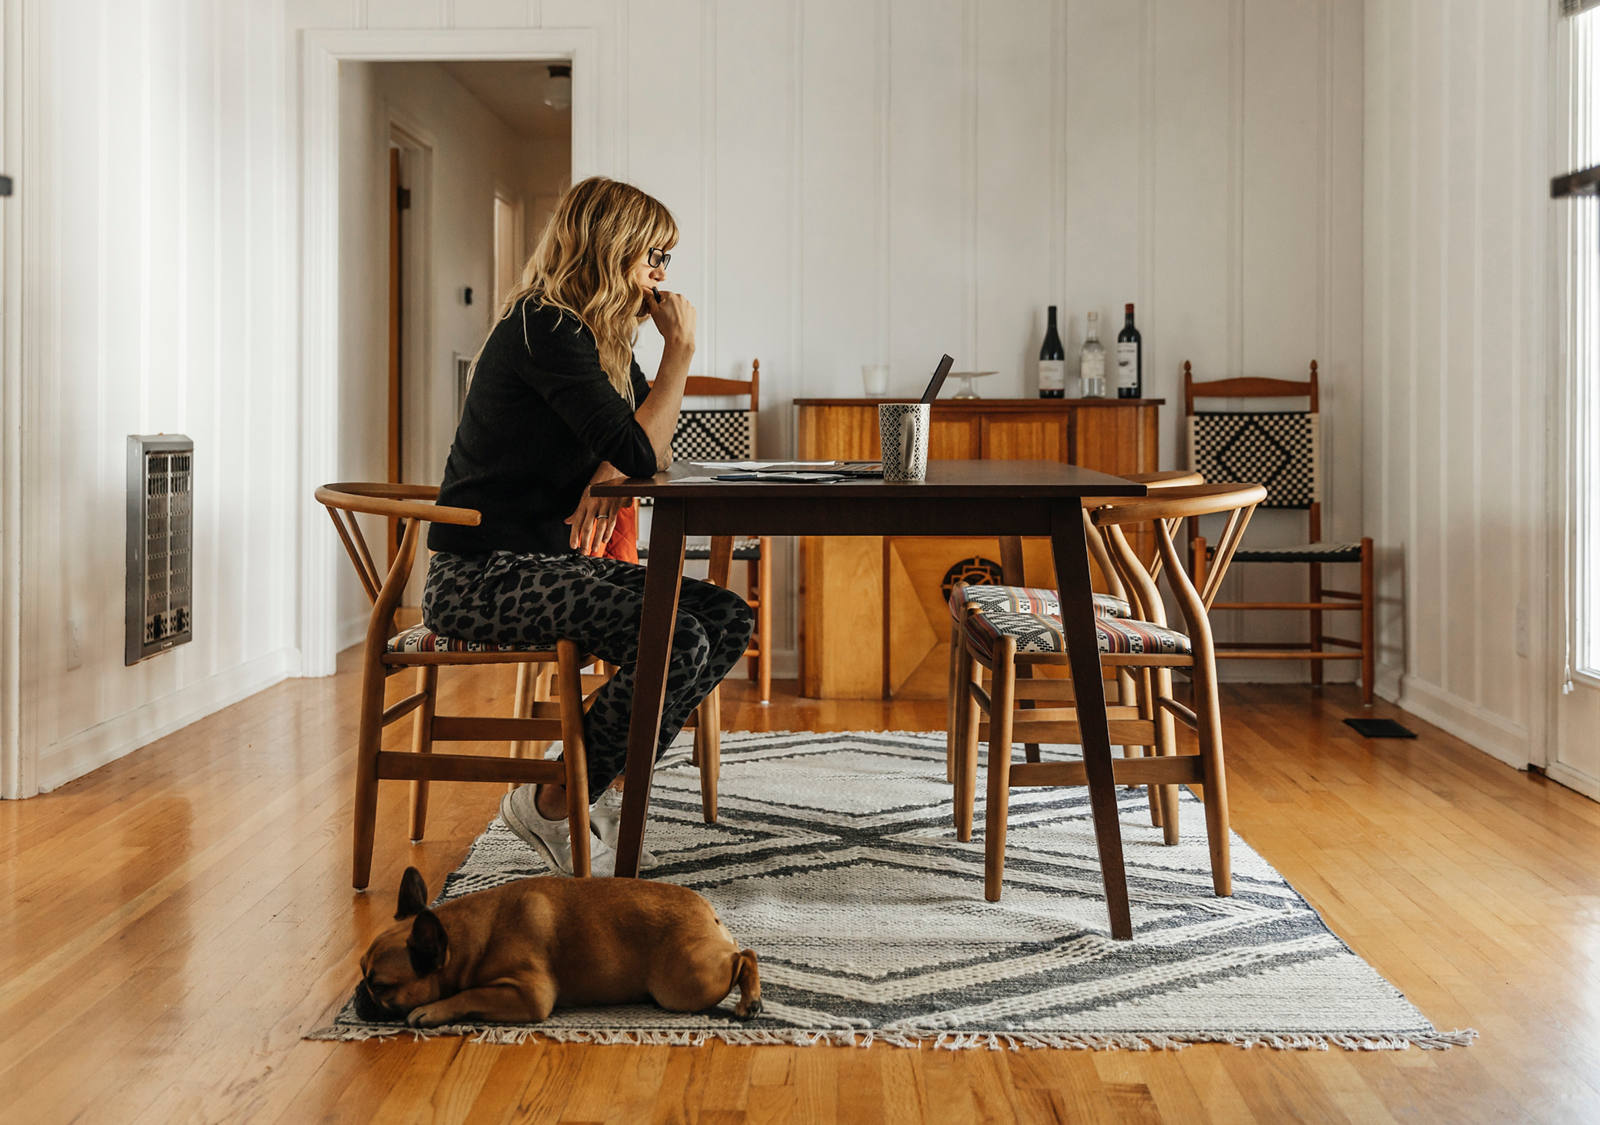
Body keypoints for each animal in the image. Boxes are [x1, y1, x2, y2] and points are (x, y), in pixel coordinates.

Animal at [358, 870, 768, 1030]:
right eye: (361, 971)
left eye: (381, 986)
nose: (361, 996)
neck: (467, 938)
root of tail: (709, 913)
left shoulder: (528, 994)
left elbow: (469, 993)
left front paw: (431, 1011)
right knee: (744, 952)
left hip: (684, 985)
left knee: (745, 956)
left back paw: (750, 1000)